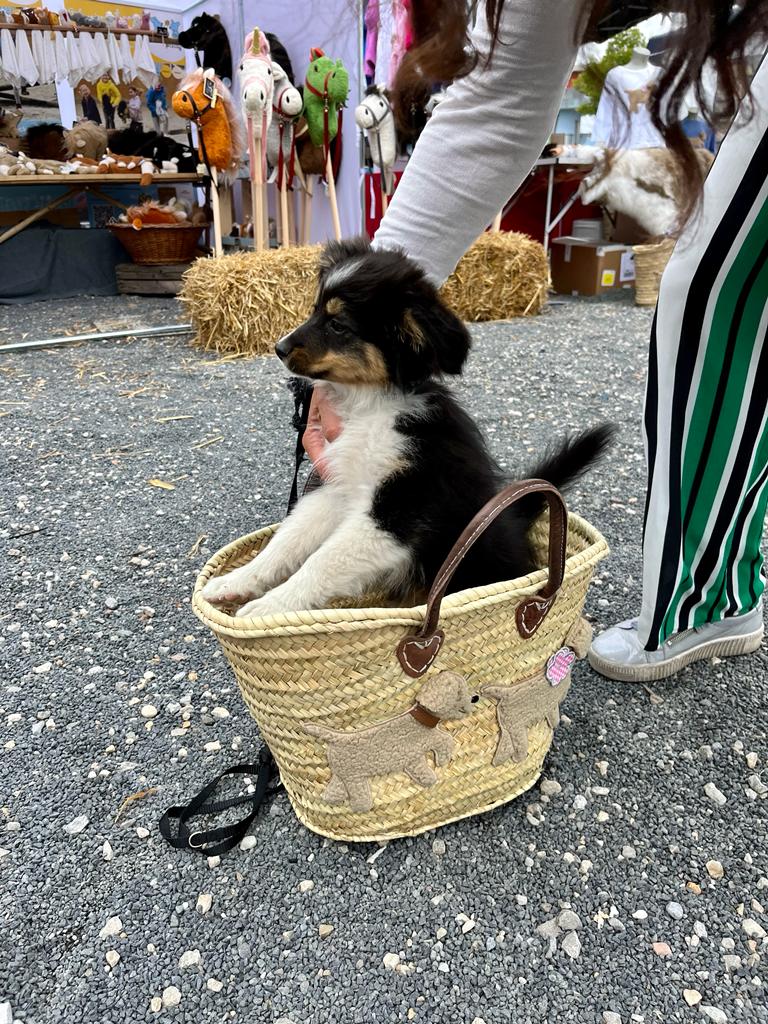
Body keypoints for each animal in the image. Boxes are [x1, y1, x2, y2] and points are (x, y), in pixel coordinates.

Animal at [204, 237, 614, 614]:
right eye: (315, 310)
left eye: (337, 325)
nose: (279, 347)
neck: (369, 407)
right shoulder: (339, 489)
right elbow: (286, 540)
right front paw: (234, 582)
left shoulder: (399, 512)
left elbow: (323, 560)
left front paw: (272, 606)